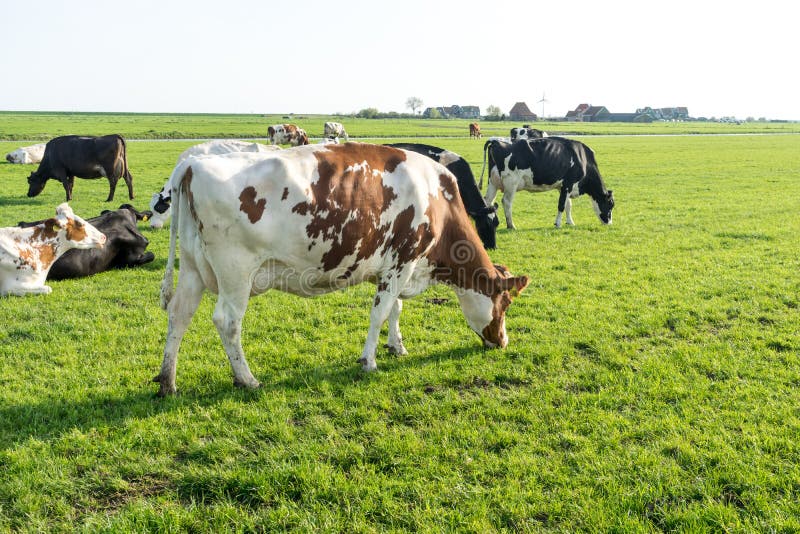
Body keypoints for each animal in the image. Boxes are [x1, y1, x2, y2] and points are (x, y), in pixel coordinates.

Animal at [156, 144, 532, 396]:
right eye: (505, 304)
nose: (503, 341)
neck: (438, 197)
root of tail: (192, 163)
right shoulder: (403, 260)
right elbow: (380, 313)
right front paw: (369, 361)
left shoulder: (395, 266)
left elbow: (395, 309)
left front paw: (397, 346)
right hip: (236, 272)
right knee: (227, 322)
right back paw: (246, 378)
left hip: (192, 268)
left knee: (179, 314)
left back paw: (167, 381)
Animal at [478, 137, 616, 229]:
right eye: (610, 204)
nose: (609, 223)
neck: (583, 158)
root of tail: (495, 140)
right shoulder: (568, 183)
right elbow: (561, 205)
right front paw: (558, 224)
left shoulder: (562, 187)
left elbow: (568, 204)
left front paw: (570, 222)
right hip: (511, 182)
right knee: (506, 202)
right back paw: (511, 225)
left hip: (493, 182)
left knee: (488, 200)